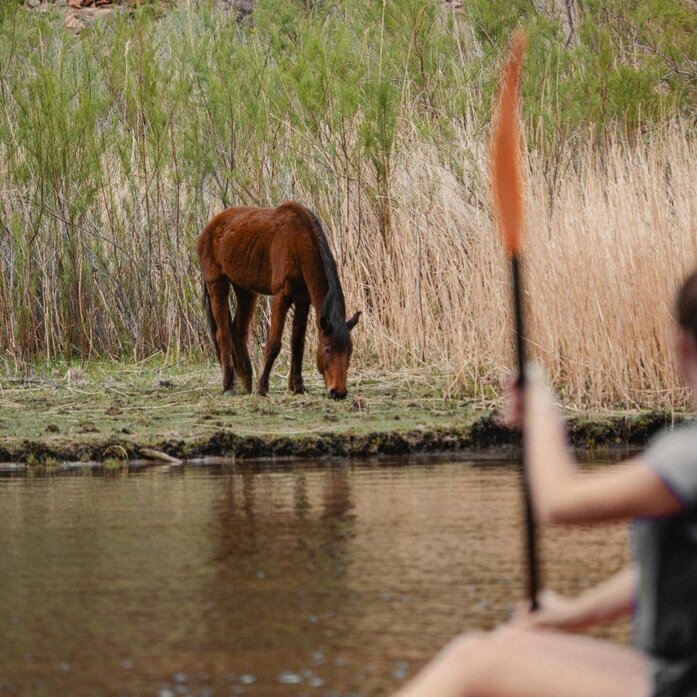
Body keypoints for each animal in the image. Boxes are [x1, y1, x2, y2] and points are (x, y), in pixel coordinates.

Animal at [196, 201, 360, 399]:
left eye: (349, 350)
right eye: (328, 349)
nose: (339, 392)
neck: (299, 242)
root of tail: (210, 226)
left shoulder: (303, 300)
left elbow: (297, 342)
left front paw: (297, 386)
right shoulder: (282, 298)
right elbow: (274, 344)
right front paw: (262, 387)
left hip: (245, 290)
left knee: (238, 331)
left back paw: (246, 381)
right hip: (217, 283)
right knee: (223, 334)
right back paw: (229, 385)